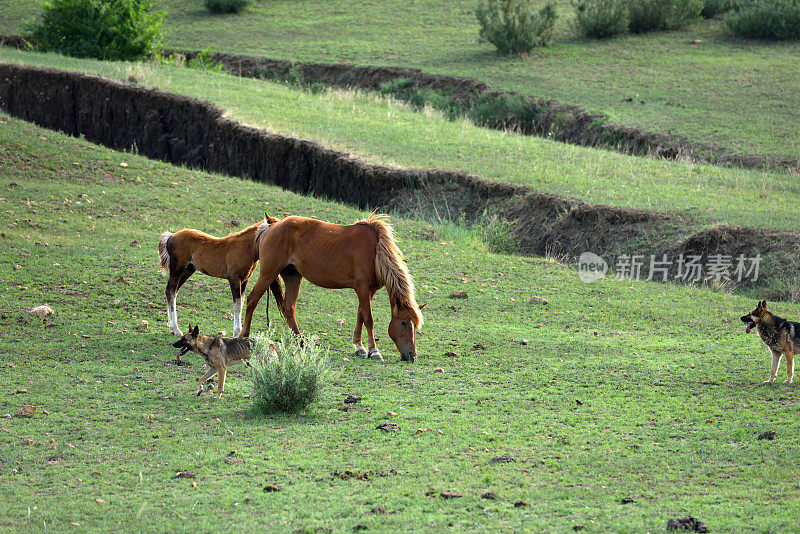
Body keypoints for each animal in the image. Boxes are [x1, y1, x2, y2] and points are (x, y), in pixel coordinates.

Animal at [239, 216, 422, 362]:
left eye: (415, 325)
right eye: (404, 323)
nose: (412, 355)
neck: (375, 251)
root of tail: (271, 226)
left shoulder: (369, 291)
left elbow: (360, 315)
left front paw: (359, 347)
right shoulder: (362, 288)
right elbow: (368, 319)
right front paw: (373, 350)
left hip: (293, 276)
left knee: (288, 308)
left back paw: (301, 342)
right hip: (268, 274)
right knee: (252, 300)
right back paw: (244, 336)